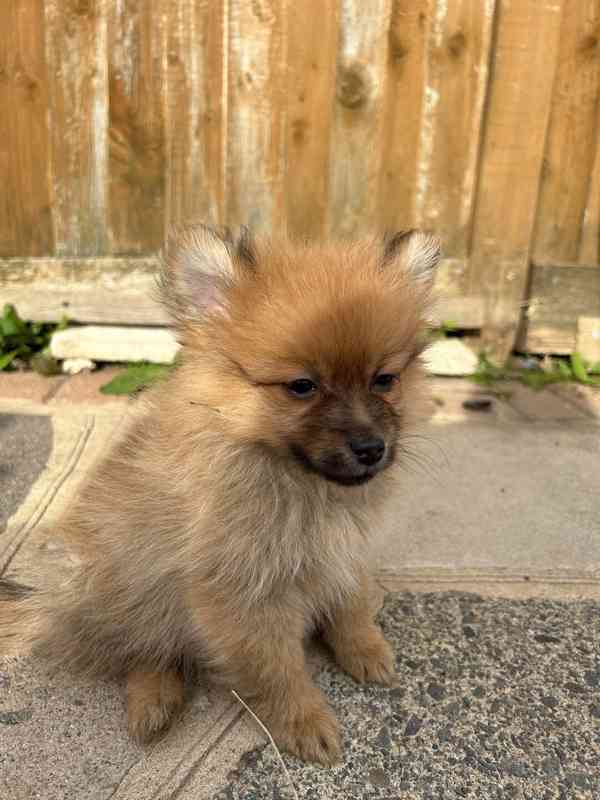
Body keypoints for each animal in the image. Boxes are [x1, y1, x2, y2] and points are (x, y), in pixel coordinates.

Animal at [0, 225, 440, 764]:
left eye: (384, 380)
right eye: (302, 386)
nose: (371, 448)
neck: (299, 483)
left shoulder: (347, 554)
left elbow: (350, 605)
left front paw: (366, 650)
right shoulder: (242, 597)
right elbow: (277, 670)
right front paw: (305, 722)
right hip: (127, 581)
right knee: (137, 647)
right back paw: (154, 699)